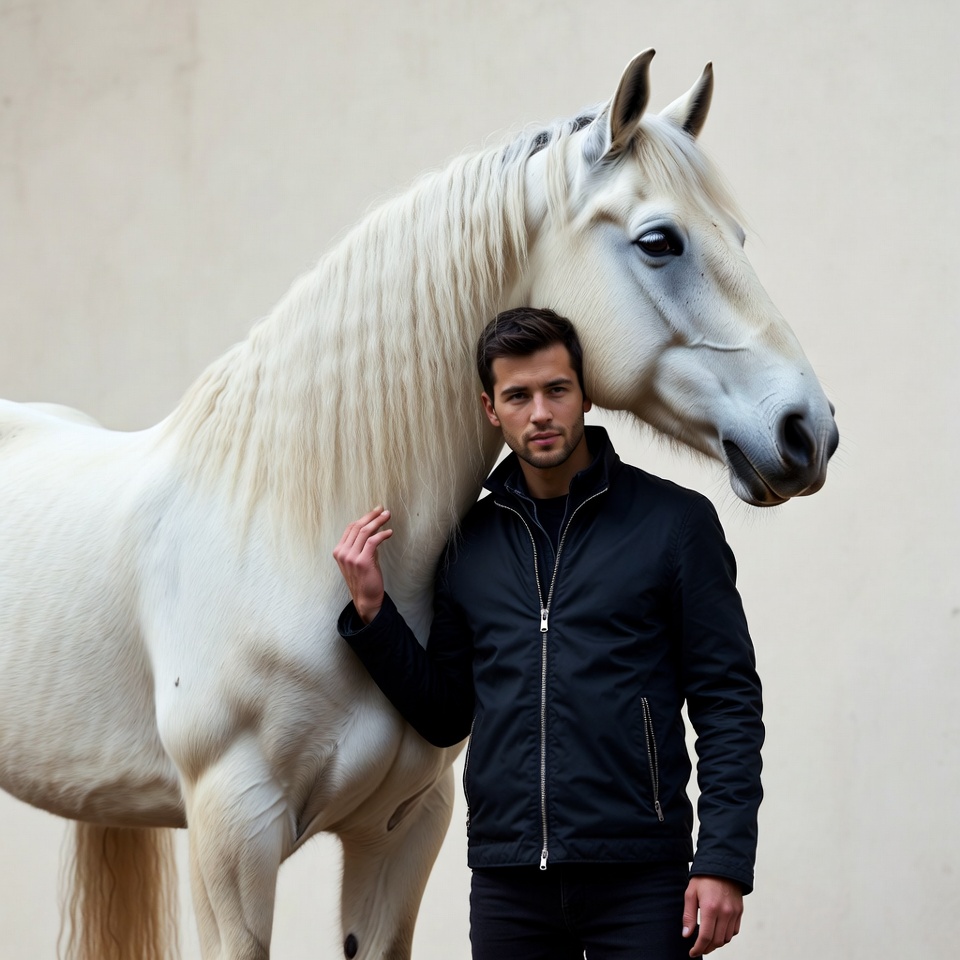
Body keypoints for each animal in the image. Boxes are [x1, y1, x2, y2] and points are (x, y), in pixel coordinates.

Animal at [0, 49, 838, 960]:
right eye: (661, 240)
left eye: (739, 238)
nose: (808, 431)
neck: (284, 536)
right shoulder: (231, 839)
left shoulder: (402, 833)